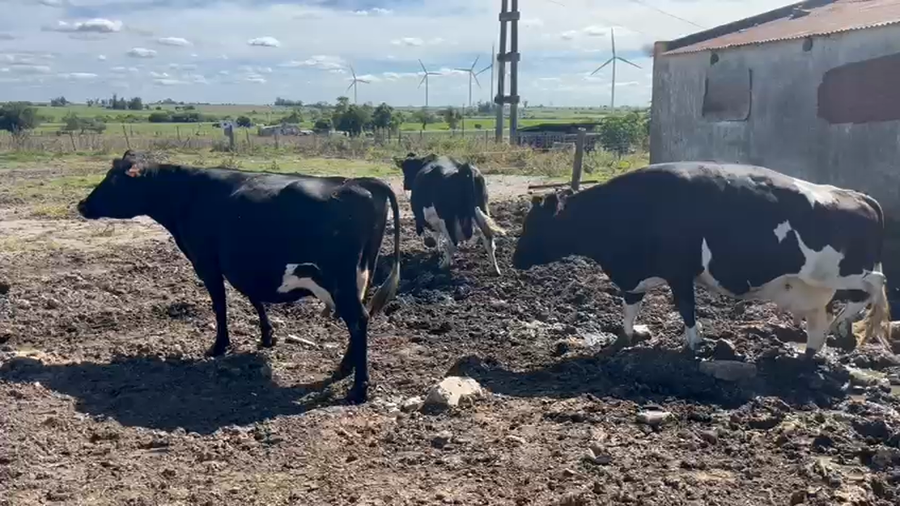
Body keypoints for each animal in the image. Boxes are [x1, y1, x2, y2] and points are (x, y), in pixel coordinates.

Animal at [77, 150, 401, 403]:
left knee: (358, 319)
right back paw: (345, 368)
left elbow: (220, 305)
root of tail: (362, 181)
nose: (82, 205)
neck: (186, 193)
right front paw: (267, 336)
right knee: (360, 319)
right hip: (361, 277)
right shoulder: (241, 266)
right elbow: (253, 297)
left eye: (114, 180)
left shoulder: (206, 262)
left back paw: (358, 388)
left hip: (340, 280)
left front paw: (219, 346)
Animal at [512, 161, 892, 358]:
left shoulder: (679, 273)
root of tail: (859, 196)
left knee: (875, 284)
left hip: (842, 272)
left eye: (533, 225)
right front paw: (623, 339)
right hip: (819, 284)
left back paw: (848, 325)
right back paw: (817, 346)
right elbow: (629, 308)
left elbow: (686, 309)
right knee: (825, 317)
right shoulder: (634, 274)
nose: (515, 259)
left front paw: (693, 345)